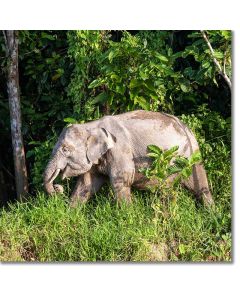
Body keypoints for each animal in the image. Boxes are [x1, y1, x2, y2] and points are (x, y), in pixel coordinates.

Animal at [44, 109, 213, 206]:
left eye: (65, 149)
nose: (58, 188)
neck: (91, 126)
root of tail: (188, 128)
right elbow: (85, 185)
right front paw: (71, 213)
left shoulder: (120, 150)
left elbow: (121, 181)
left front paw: (127, 217)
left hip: (188, 155)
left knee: (195, 183)